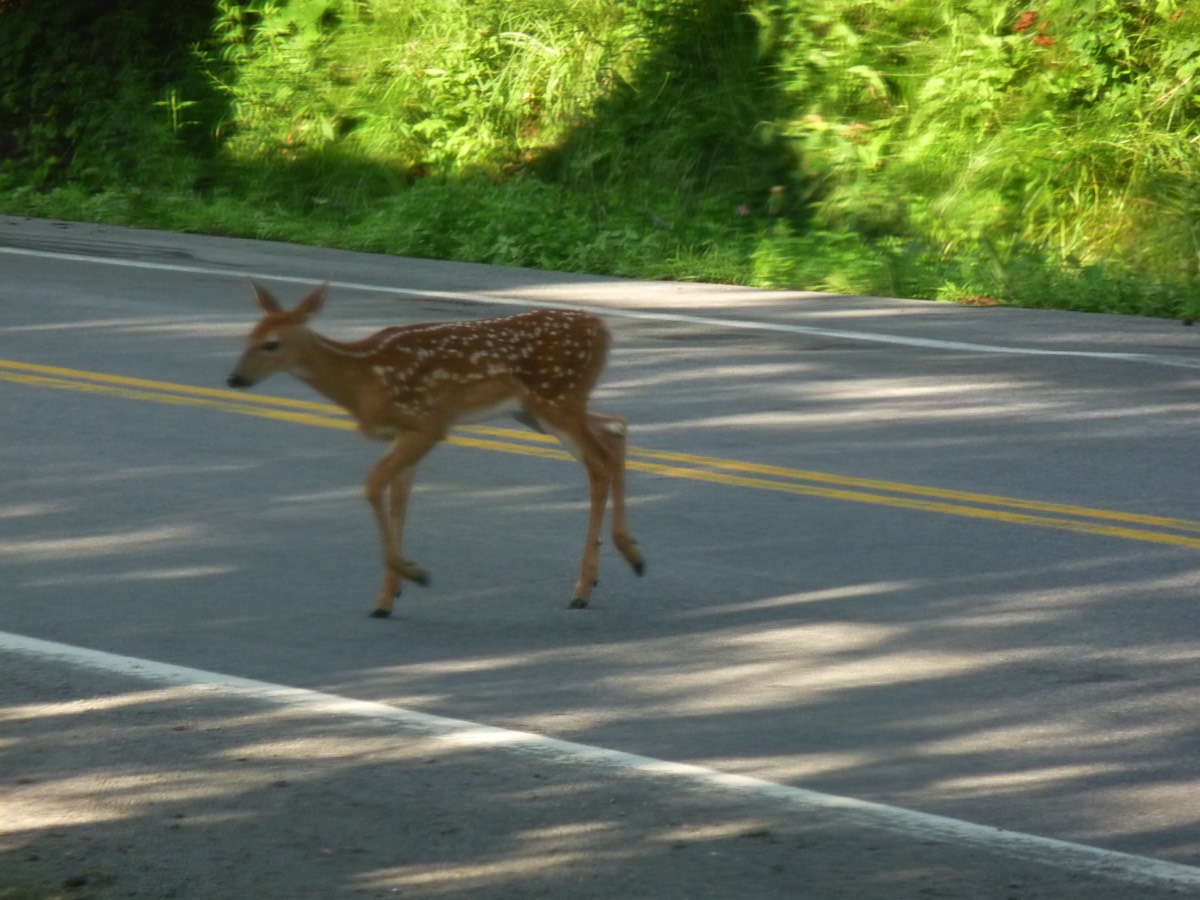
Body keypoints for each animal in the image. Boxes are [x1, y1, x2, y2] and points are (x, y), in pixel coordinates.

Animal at [222, 283, 643, 619]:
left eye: (271, 344)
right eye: (247, 338)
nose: (234, 379)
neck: (362, 380)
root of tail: (602, 329)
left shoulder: (429, 423)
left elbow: (373, 485)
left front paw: (413, 574)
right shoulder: (404, 433)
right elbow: (398, 500)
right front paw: (387, 597)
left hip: (556, 398)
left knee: (599, 460)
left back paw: (584, 588)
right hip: (535, 410)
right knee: (616, 429)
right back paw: (629, 555)